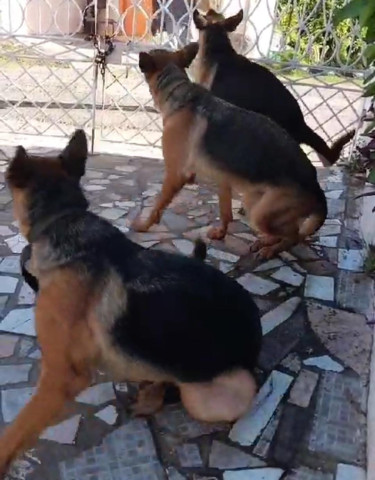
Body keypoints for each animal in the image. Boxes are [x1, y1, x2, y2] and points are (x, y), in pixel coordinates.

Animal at [136, 49, 328, 255]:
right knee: (289, 232)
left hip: (260, 213)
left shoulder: (175, 175)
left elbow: (158, 205)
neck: (178, 89)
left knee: (294, 235)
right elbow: (225, 211)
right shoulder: (223, 178)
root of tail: (317, 188)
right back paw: (266, 240)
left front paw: (143, 225)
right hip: (253, 201)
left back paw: (271, 250)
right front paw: (221, 232)